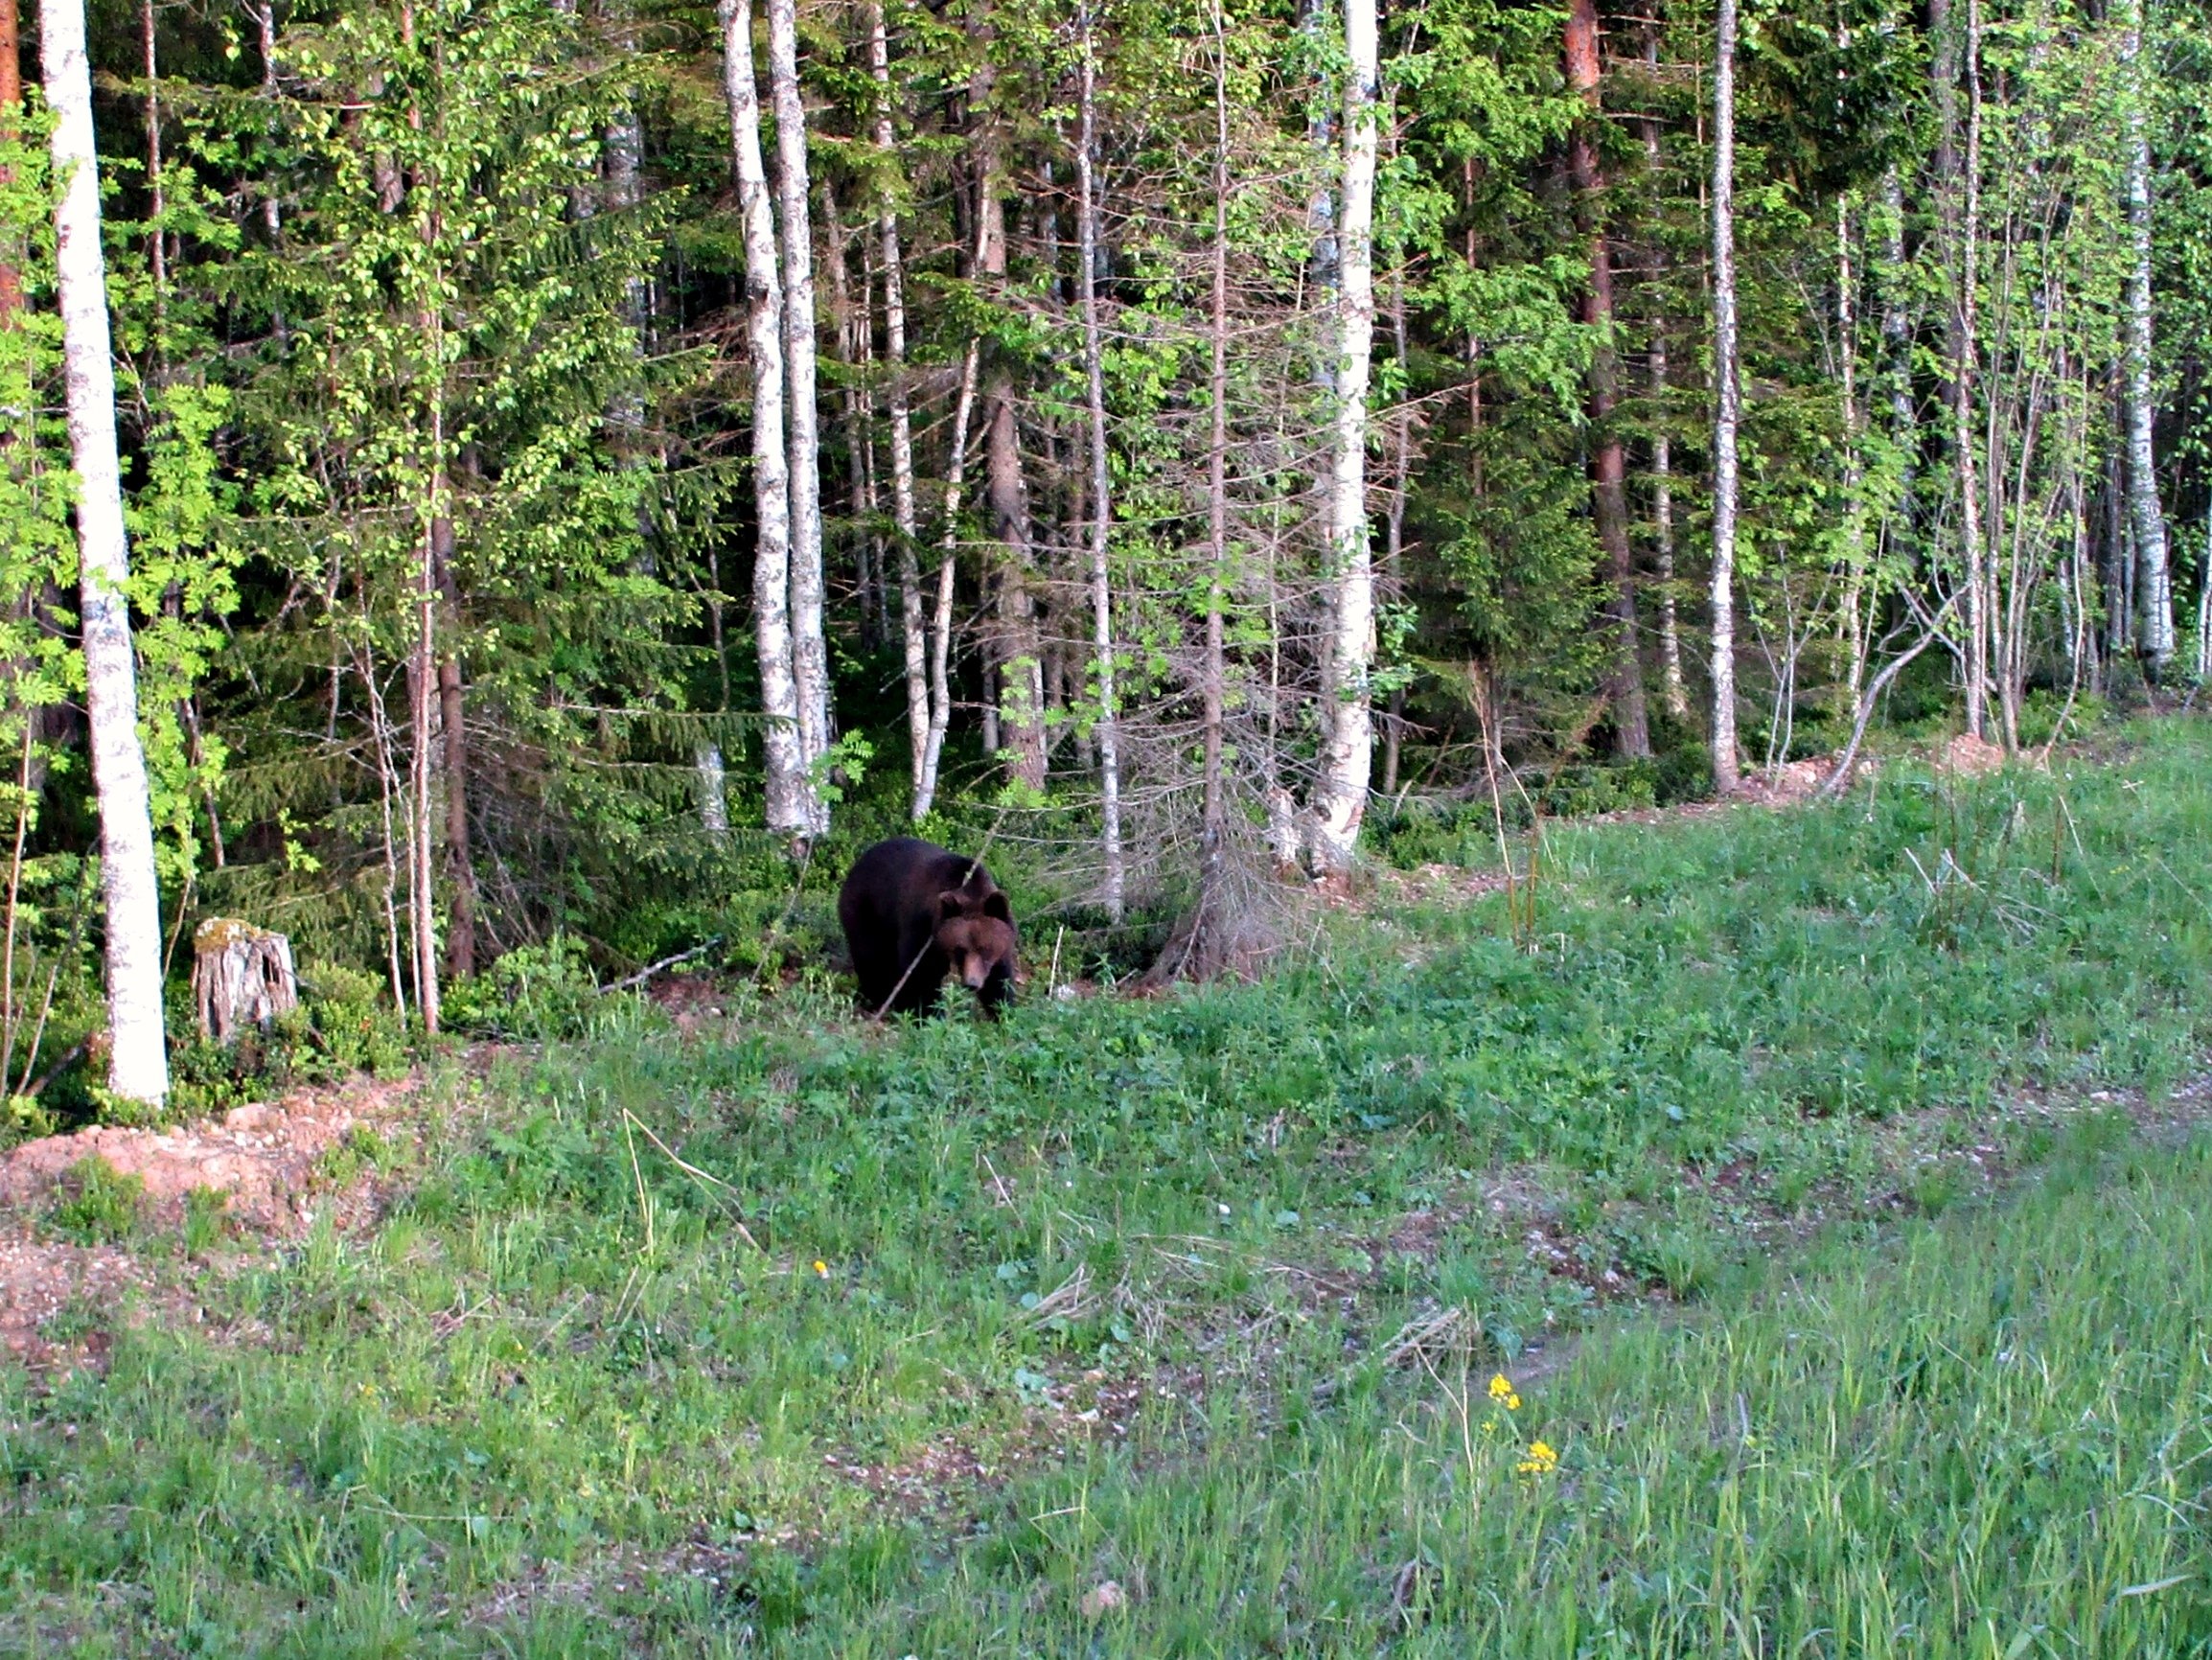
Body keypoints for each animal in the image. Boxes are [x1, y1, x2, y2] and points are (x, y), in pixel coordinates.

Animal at [836, 836, 1017, 1022]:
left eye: (984, 949)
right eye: (960, 950)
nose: (972, 983)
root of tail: (857, 863)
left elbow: (998, 979)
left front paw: (1003, 1013)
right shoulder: (921, 925)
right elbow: (921, 974)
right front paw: (930, 1015)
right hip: (866, 909)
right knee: (871, 955)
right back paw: (878, 999)